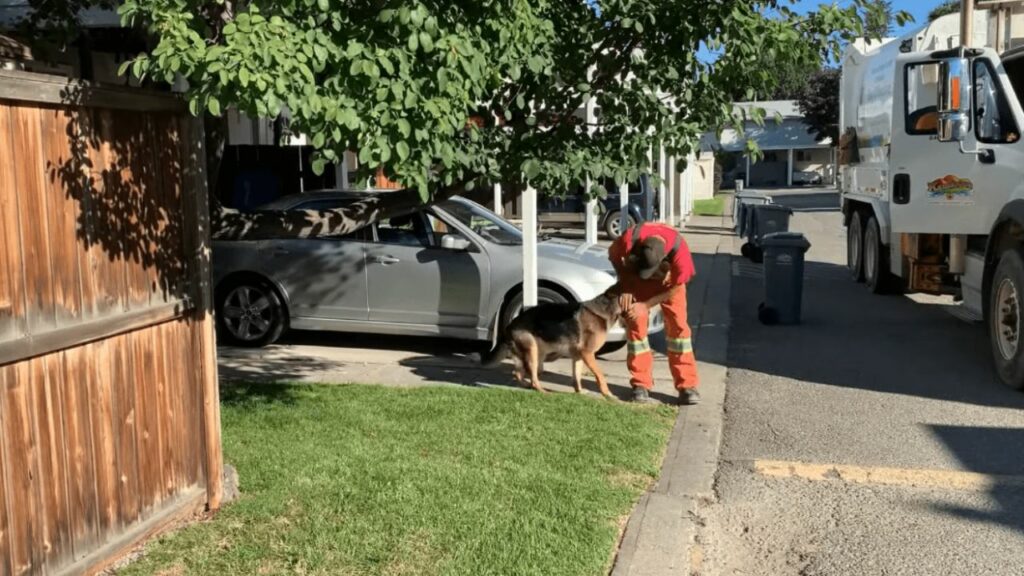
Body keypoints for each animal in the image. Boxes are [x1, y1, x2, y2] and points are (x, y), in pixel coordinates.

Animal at [481, 291, 618, 393]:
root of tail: (509, 326)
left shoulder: (578, 356)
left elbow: (577, 377)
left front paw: (579, 392)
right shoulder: (587, 353)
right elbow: (598, 374)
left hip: (535, 355)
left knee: (518, 373)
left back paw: (527, 385)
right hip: (533, 352)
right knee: (532, 377)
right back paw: (542, 391)